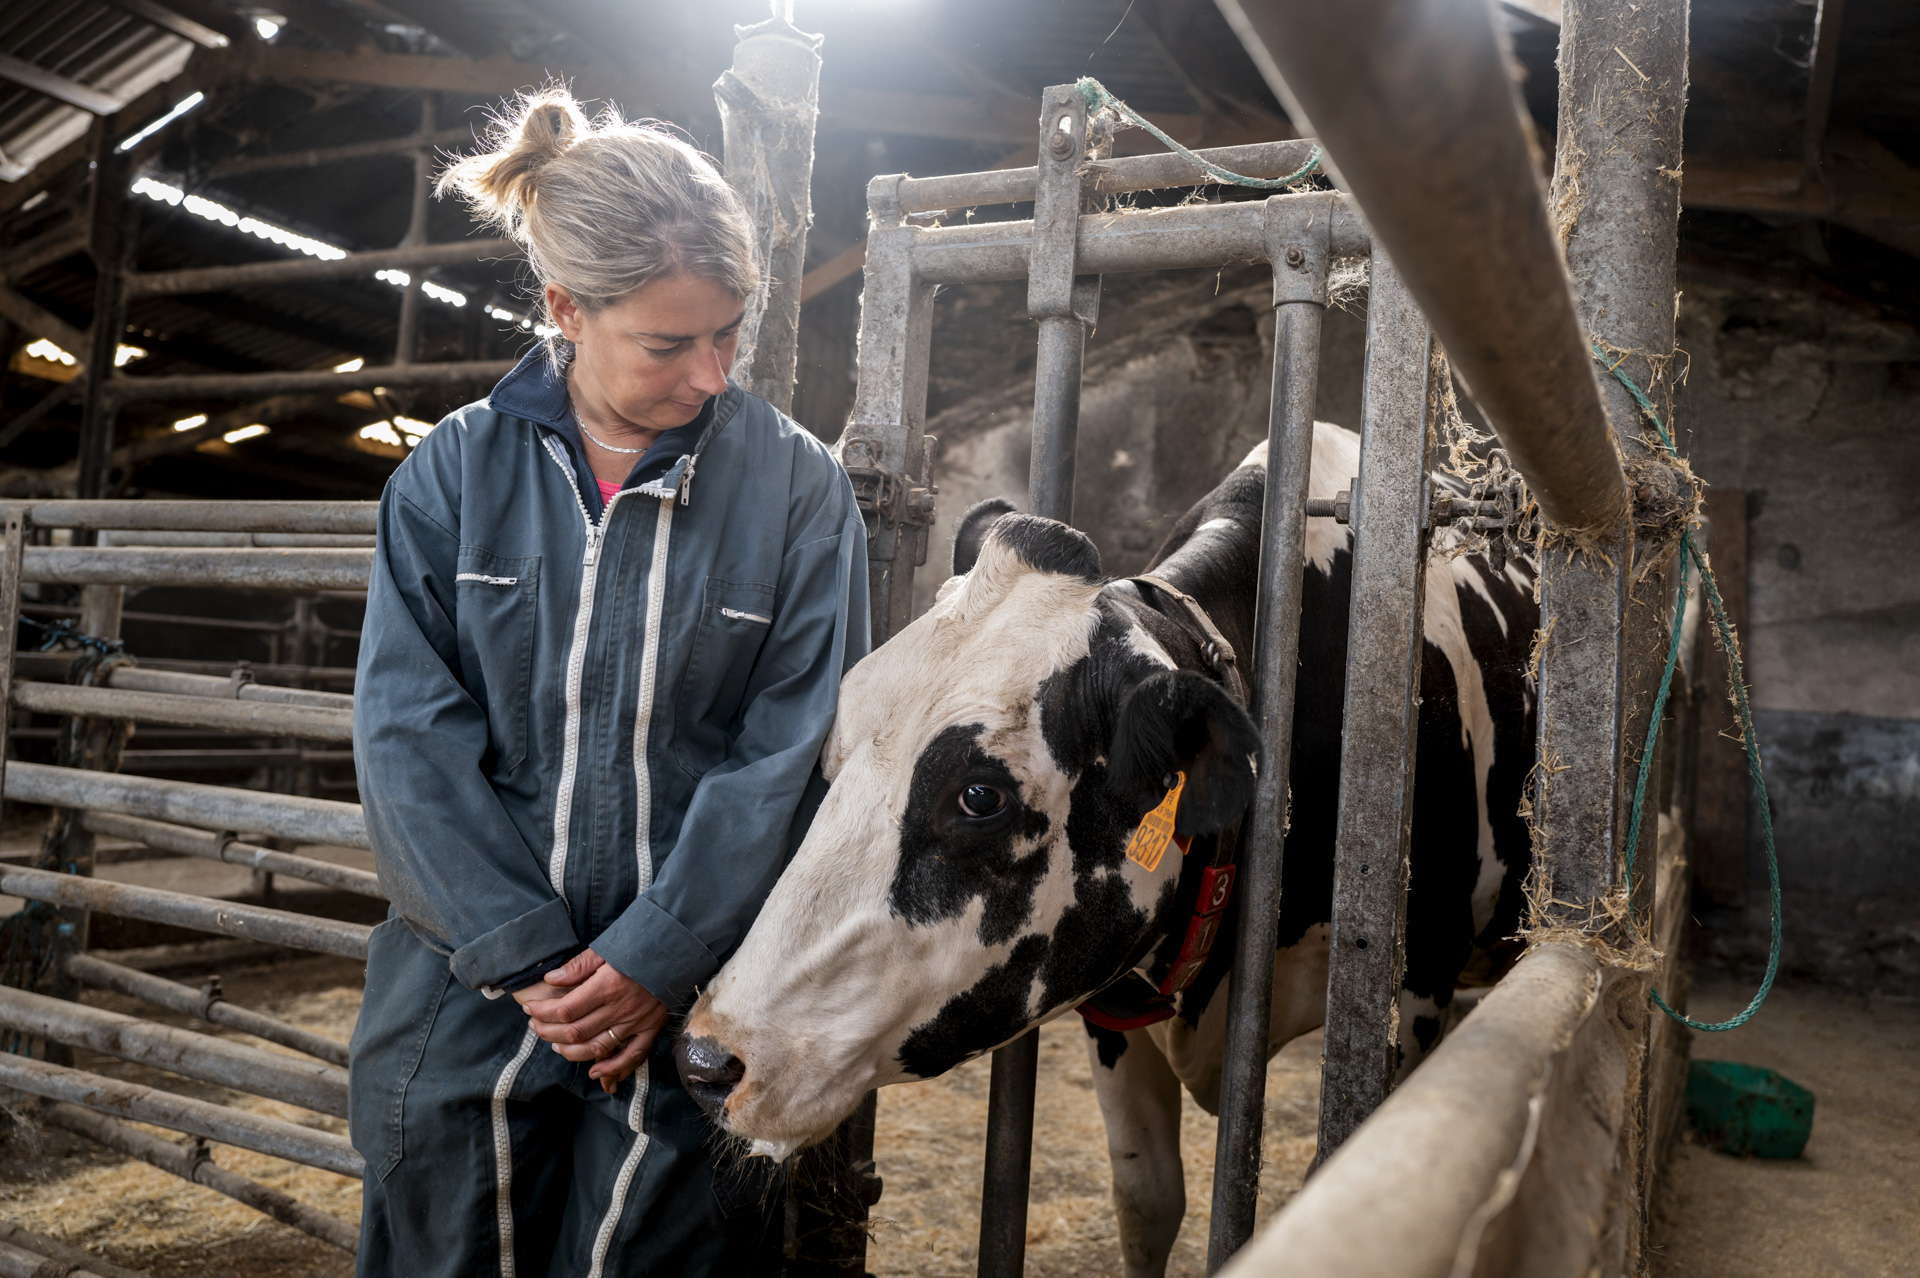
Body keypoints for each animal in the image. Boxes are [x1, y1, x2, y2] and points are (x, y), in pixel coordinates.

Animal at [674, 420, 1539, 1277]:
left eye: (979, 795)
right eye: (836, 741)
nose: (707, 1061)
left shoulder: (1416, 987)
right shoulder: (1111, 998)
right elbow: (1149, 1201)